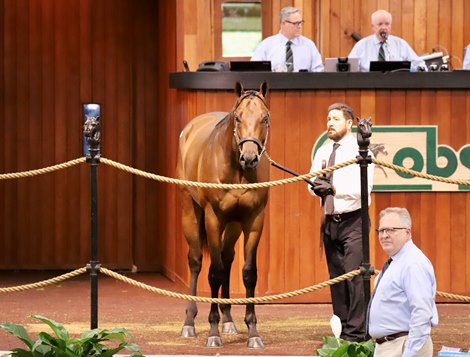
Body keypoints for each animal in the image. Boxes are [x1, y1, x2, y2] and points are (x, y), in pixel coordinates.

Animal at [175, 81, 272, 348]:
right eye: (238, 118)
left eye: (265, 118)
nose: (249, 158)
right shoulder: (213, 219)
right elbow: (214, 273)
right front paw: (213, 331)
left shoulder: (253, 220)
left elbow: (248, 273)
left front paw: (253, 332)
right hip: (190, 212)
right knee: (196, 262)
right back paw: (189, 322)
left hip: (234, 225)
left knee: (228, 259)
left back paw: (228, 319)